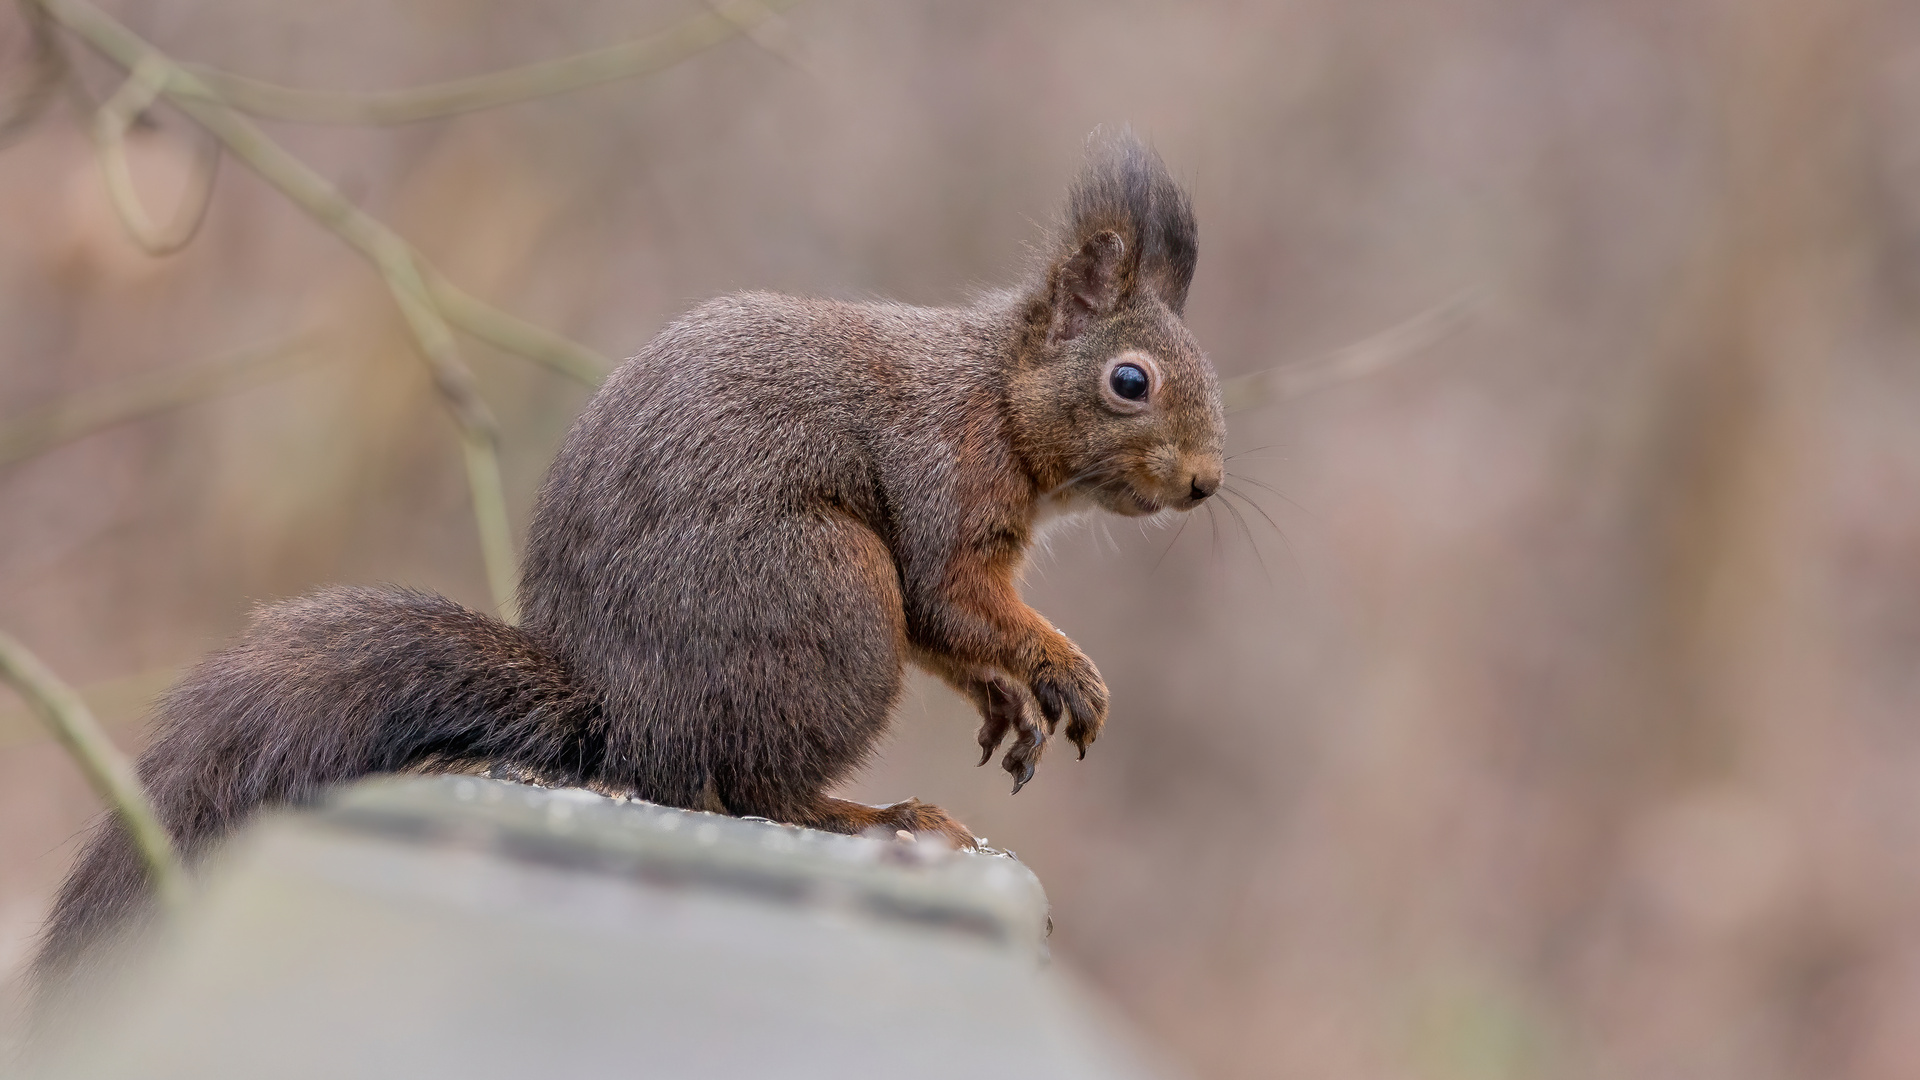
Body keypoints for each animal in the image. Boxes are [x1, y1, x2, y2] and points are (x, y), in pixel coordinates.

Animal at [30, 130, 1221, 980]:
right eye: (1130, 381)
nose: (1208, 483)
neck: (996, 398)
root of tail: (622, 713)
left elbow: (957, 636)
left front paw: (1009, 698)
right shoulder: (944, 484)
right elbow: (952, 600)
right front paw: (1065, 669)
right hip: (833, 598)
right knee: (751, 790)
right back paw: (879, 815)